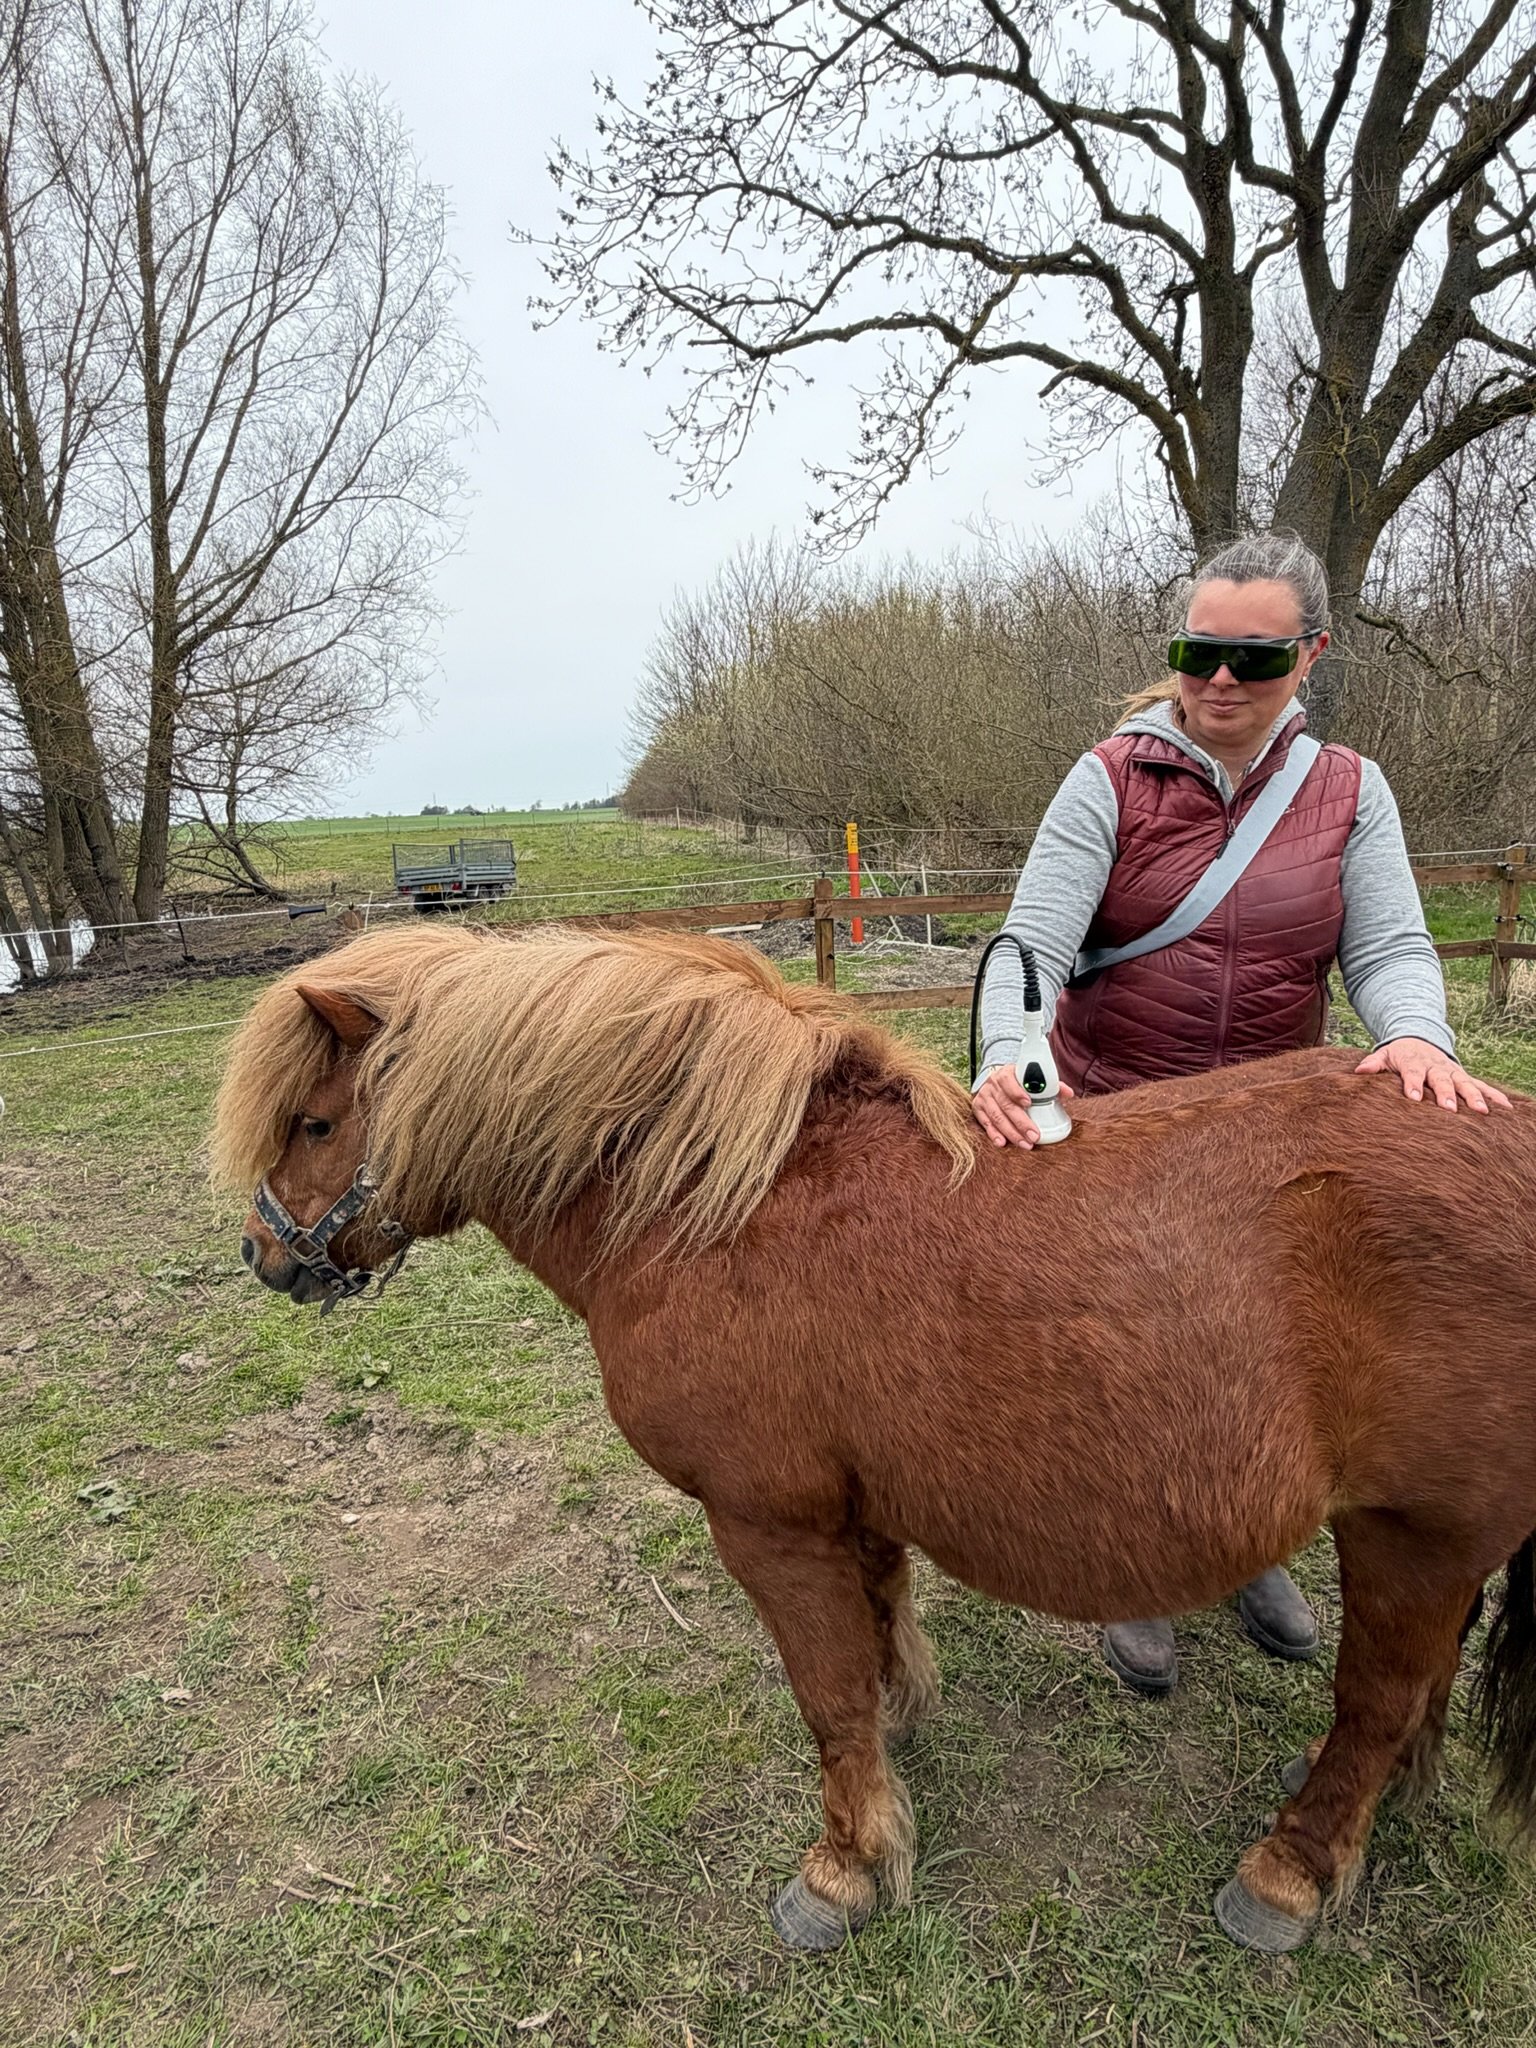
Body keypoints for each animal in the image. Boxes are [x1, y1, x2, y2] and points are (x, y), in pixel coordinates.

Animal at [211, 920, 1536, 1956]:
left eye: (316, 1120)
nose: (267, 1256)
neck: (724, 1201)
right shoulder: (853, 1503)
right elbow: (880, 1624)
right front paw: (901, 1736)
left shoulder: (767, 1522)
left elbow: (827, 1693)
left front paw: (846, 1863)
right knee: (1415, 1689)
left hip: (1414, 1533)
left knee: (1377, 1700)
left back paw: (1293, 1868)